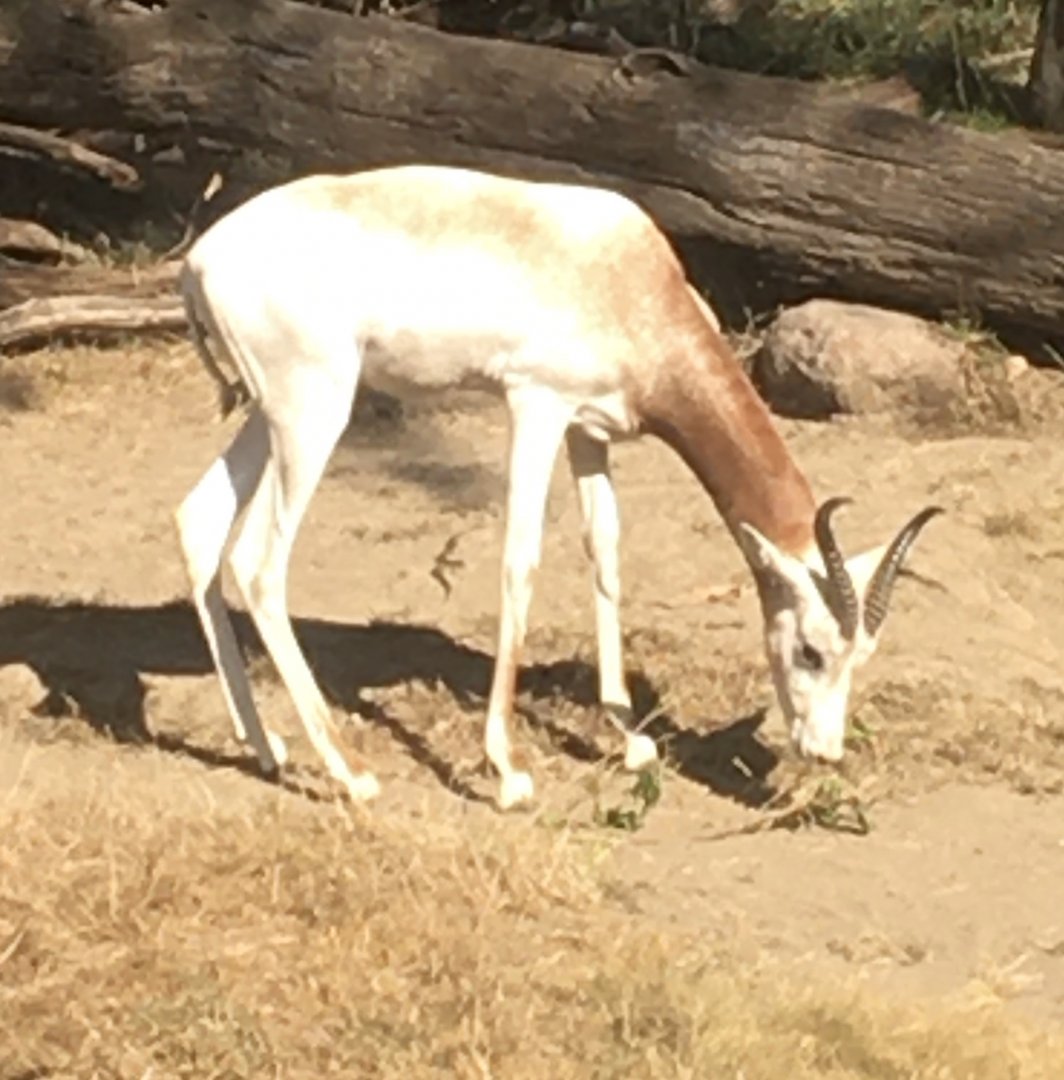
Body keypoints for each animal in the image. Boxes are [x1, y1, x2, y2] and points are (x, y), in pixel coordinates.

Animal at [175, 164, 941, 810]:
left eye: (862, 656)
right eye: (811, 650)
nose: (824, 752)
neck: (624, 279)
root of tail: (198, 258)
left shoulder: (589, 429)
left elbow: (605, 553)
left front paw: (629, 738)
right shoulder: (535, 406)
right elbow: (521, 564)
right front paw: (508, 771)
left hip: (271, 414)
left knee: (200, 520)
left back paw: (264, 747)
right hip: (314, 412)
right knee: (259, 563)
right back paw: (351, 773)